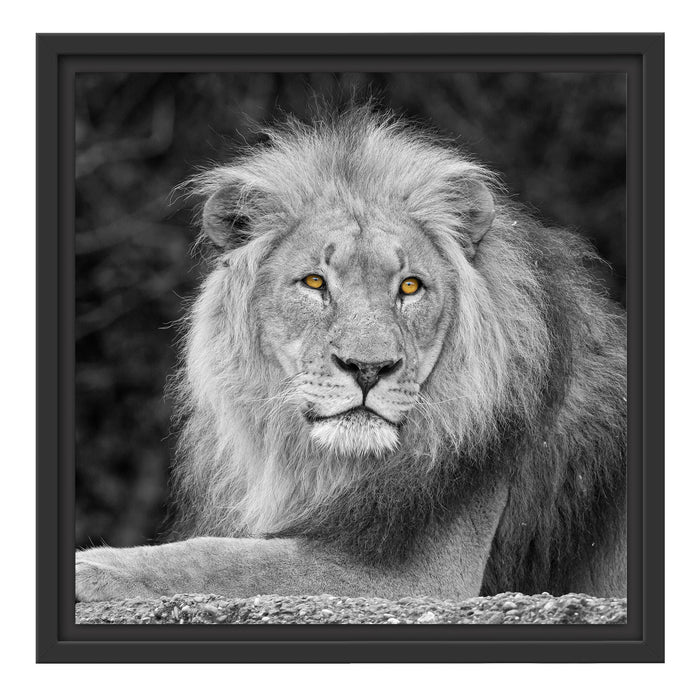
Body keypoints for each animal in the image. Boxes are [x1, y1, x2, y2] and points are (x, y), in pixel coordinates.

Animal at [76, 106, 627, 603]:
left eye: (410, 286)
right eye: (315, 282)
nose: (368, 369)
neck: (326, 466)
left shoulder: (422, 577)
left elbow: (224, 557)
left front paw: (95, 567)